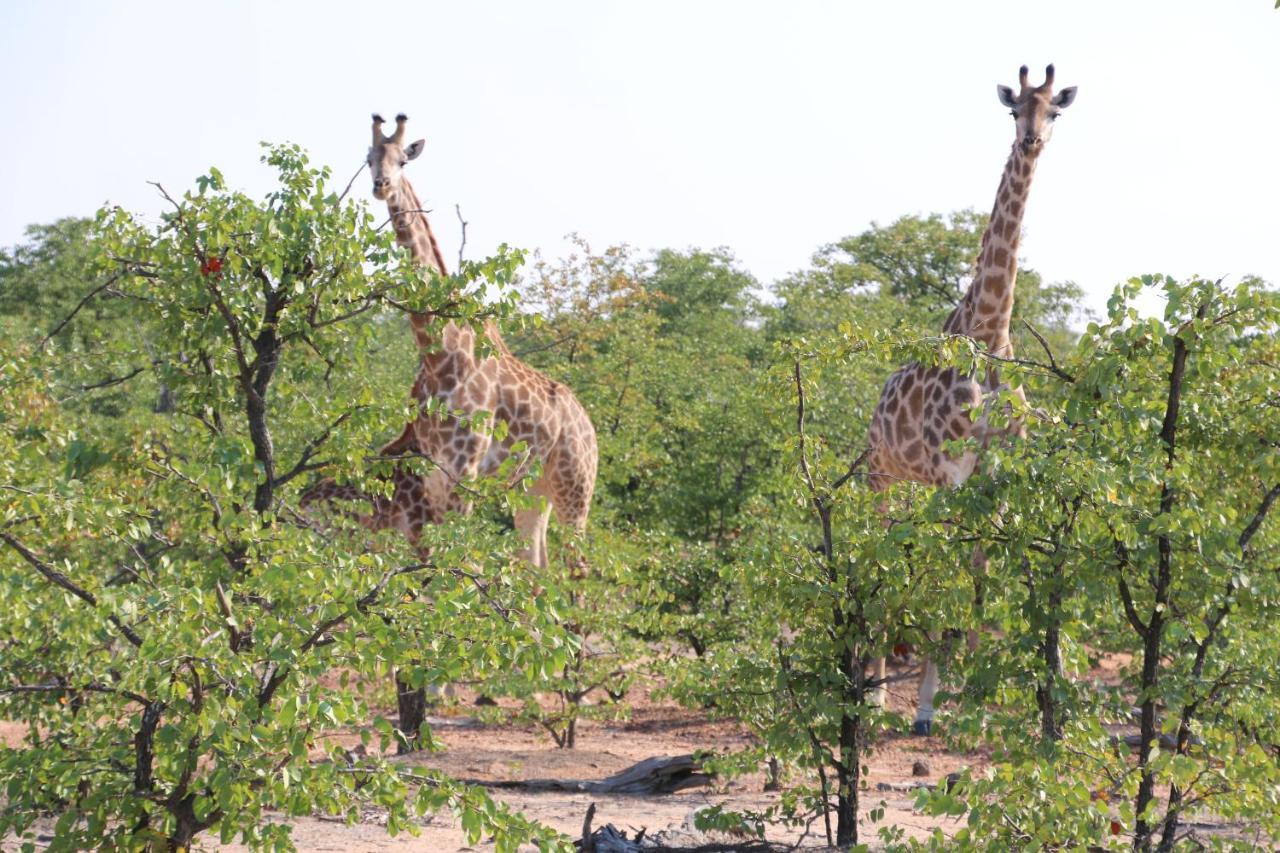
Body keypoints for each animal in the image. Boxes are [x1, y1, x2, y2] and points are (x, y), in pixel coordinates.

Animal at [865, 64, 1075, 732]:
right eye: (1013, 111)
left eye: (1054, 112)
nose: (1031, 141)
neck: (989, 333)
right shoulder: (948, 473)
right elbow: (947, 572)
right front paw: (929, 706)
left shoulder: (994, 475)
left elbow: (981, 570)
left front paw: (979, 700)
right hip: (881, 475)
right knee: (879, 549)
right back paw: (876, 694)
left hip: (913, 484)